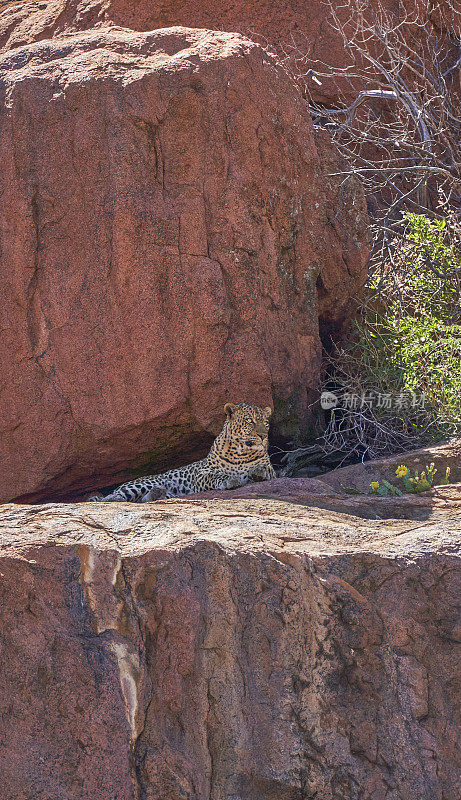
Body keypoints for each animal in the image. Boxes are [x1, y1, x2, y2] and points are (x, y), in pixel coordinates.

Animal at [88, 404, 274, 504]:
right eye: (250, 421)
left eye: (266, 423)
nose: (263, 435)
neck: (241, 452)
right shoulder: (202, 474)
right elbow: (216, 475)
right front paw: (230, 480)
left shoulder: (271, 470)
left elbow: (263, 469)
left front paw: (256, 473)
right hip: (141, 483)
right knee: (114, 496)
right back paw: (109, 499)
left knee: (144, 499)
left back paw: (157, 493)